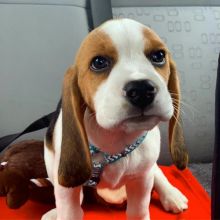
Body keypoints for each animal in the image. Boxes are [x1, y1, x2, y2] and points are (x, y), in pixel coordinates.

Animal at [43, 18, 189, 220]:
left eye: (158, 56)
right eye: (99, 62)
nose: (142, 90)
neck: (117, 139)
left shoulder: (141, 180)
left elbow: (138, 210)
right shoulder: (67, 189)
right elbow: (70, 210)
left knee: (156, 171)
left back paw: (171, 194)